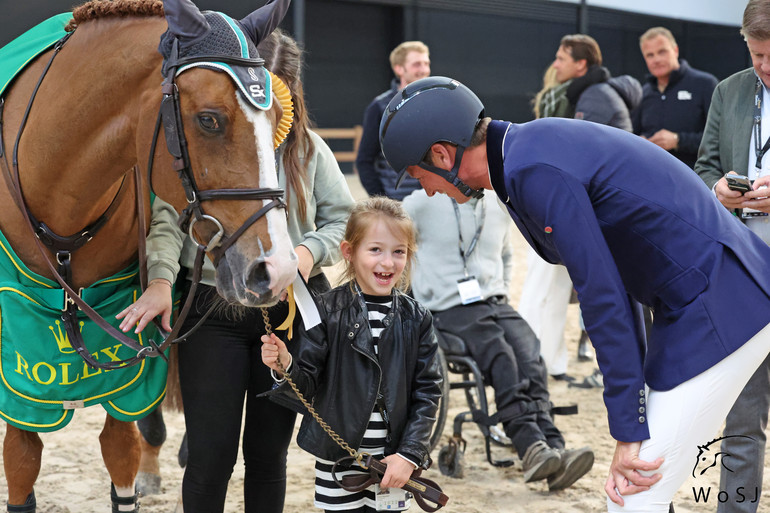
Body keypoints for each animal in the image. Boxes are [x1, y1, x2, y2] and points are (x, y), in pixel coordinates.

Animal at [0, 0, 294, 508]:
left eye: (276, 116)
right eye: (209, 120)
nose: (274, 270)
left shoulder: (125, 354)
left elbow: (121, 453)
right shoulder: (20, 364)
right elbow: (21, 464)